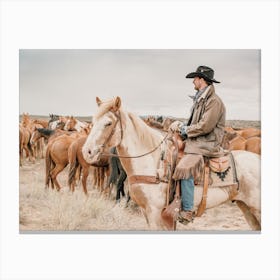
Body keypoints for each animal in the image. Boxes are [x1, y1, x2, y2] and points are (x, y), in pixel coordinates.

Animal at [82, 97, 262, 231]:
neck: (153, 163)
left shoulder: (155, 213)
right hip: (246, 208)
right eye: (93, 121)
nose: (87, 151)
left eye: (108, 123)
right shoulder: (148, 213)